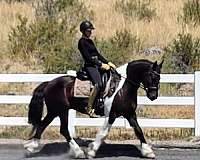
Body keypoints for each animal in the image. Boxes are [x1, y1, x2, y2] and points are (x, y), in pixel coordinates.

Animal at [23, 59, 162, 159]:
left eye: (159, 77)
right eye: (152, 76)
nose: (153, 96)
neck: (121, 88)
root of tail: (49, 83)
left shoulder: (130, 114)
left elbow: (139, 130)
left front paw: (148, 152)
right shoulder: (111, 115)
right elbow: (103, 133)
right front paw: (92, 151)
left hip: (56, 111)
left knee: (45, 125)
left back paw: (31, 147)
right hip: (60, 110)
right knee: (62, 130)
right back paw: (79, 153)